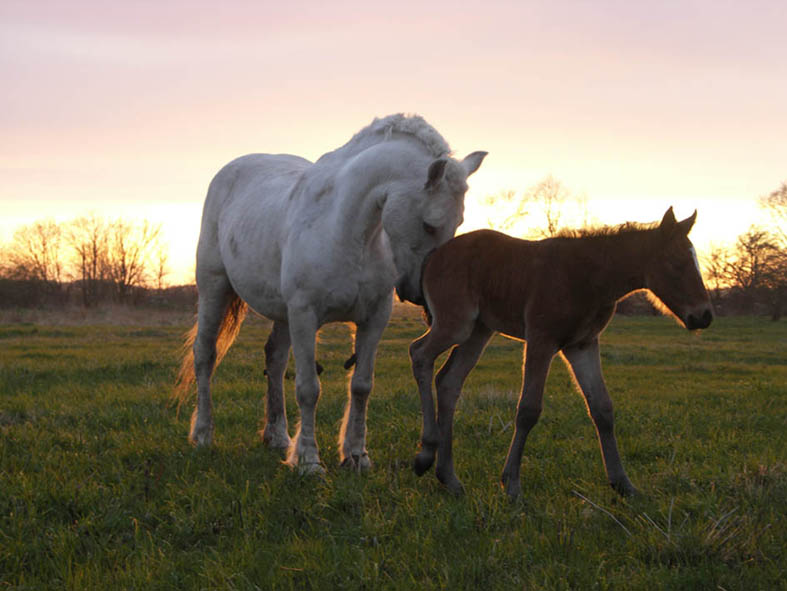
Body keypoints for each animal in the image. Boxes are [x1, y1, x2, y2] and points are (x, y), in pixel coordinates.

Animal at [176, 114, 486, 476]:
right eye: (429, 224)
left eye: (458, 223)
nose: (422, 296)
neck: (349, 231)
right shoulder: (305, 315)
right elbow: (309, 389)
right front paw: (309, 461)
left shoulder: (373, 319)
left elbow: (361, 385)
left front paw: (356, 456)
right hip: (215, 288)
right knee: (205, 355)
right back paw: (203, 435)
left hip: (283, 315)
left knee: (275, 360)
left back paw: (277, 437)